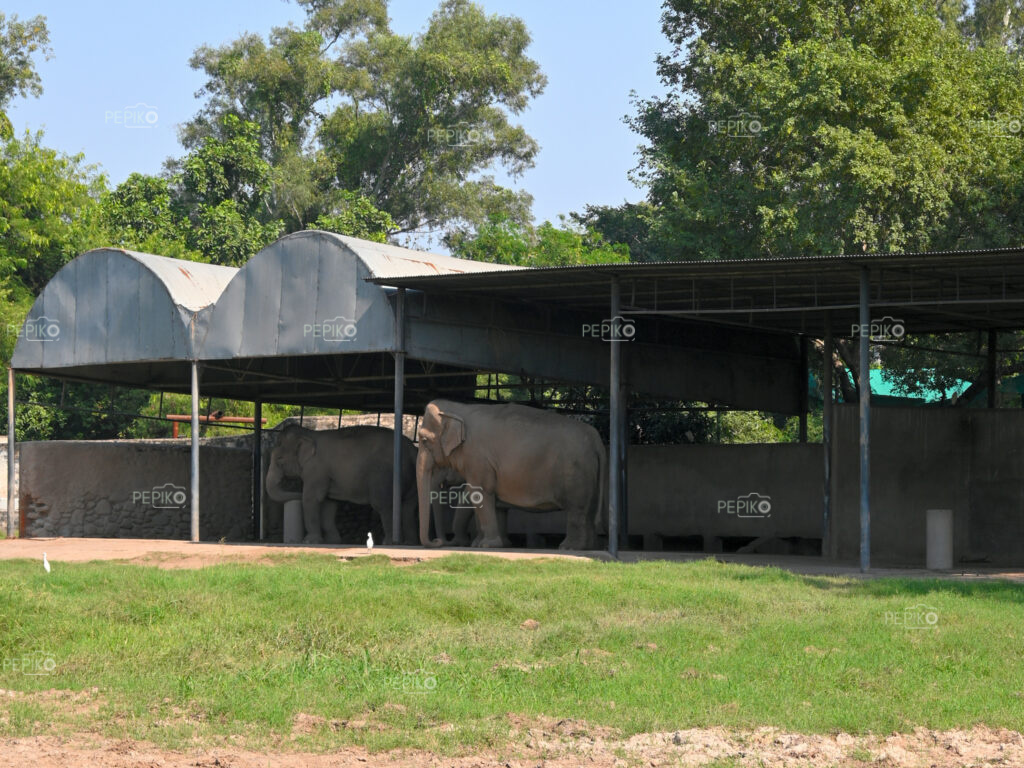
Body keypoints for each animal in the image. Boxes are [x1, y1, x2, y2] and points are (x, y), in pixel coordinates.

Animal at [417, 399, 606, 548]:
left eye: (424, 440)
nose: (438, 542)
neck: (459, 408)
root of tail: (597, 438)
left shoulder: (477, 458)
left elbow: (479, 493)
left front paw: (486, 546)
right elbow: (494, 503)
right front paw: (493, 544)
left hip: (576, 472)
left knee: (577, 510)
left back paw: (569, 548)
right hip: (589, 472)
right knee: (588, 512)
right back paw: (589, 547)